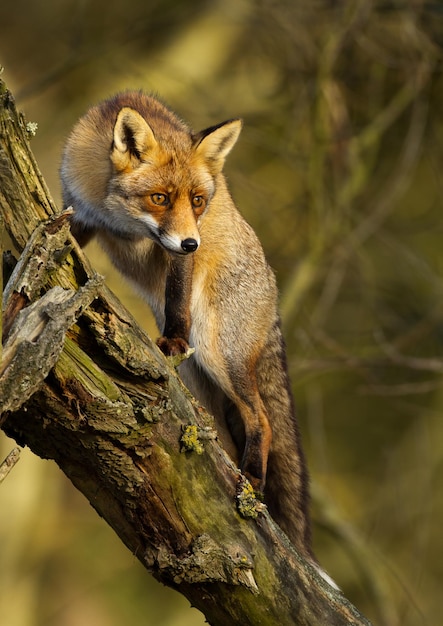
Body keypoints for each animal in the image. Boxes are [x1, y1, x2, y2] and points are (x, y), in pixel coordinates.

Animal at [60, 92, 314, 560]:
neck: (122, 222)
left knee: (262, 419)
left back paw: (252, 481)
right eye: (159, 198)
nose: (193, 242)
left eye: (198, 201)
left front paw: (174, 338)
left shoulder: (176, 255)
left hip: (219, 355)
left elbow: (177, 296)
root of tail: (273, 296)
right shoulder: (81, 214)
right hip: (201, 386)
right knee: (223, 442)